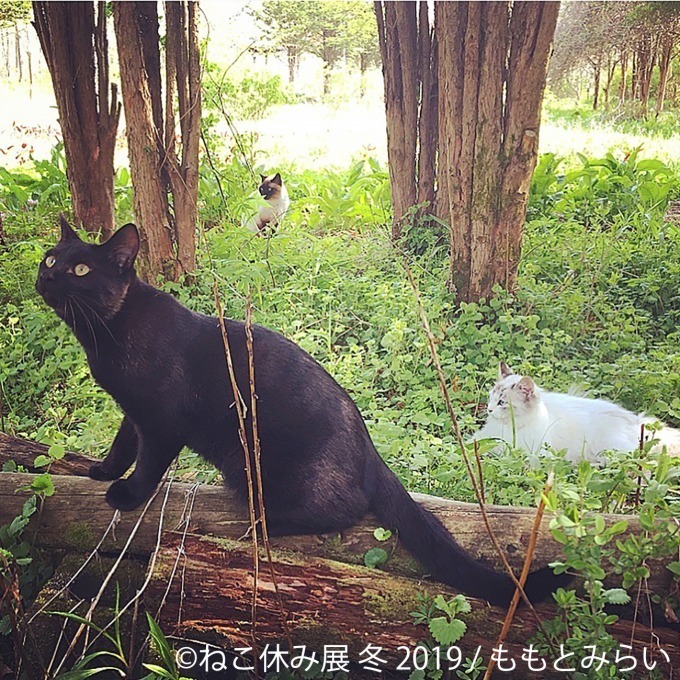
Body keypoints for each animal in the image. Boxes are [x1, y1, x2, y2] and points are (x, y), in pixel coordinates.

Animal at [472, 364, 680, 464]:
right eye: (490, 397)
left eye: (502, 403)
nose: (489, 410)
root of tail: (637, 420)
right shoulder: (483, 437)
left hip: (607, 448)